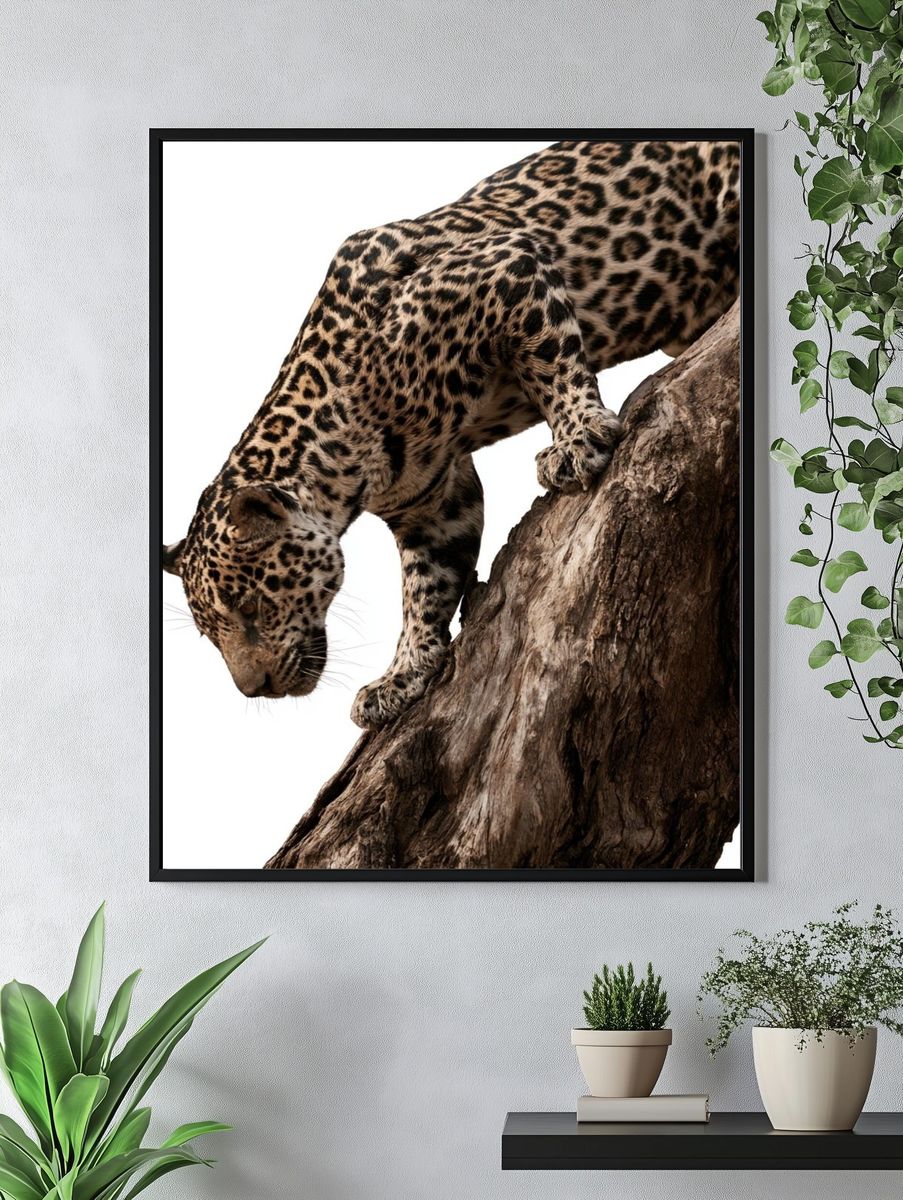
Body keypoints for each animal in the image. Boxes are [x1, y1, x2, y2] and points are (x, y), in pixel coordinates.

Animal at [162, 138, 741, 729]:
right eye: (211, 633)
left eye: (251, 607)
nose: (254, 688)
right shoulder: (434, 502)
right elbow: (426, 586)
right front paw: (401, 676)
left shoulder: (508, 266)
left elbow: (552, 361)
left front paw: (577, 437)